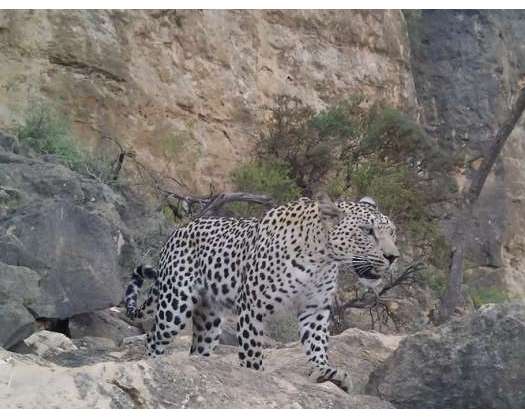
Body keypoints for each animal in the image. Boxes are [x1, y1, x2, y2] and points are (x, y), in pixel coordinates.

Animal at [126, 194, 398, 394]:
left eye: (392, 232)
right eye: (367, 231)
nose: (393, 256)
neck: (322, 258)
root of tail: (175, 233)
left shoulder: (315, 309)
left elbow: (317, 343)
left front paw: (325, 371)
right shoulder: (252, 309)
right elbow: (252, 352)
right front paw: (255, 377)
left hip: (209, 318)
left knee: (197, 350)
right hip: (175, 304)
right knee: (154, 338)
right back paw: (156, 366)